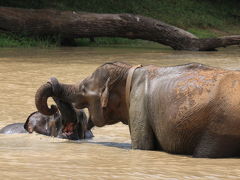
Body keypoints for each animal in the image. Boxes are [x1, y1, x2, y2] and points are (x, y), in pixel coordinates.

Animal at [34, 62, 240, 158]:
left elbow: (143, 146)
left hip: (219, 128)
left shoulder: (138, 102)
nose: (53, 106)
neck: (129, 70)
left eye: (84, 89)